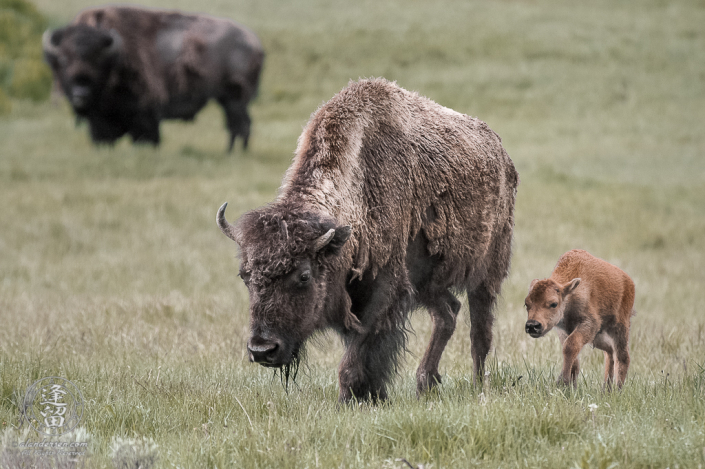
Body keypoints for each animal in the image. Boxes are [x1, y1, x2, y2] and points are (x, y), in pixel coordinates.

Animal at [43, 5, 264, 152]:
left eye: (98, 59)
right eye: (63, 59)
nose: (80, 93)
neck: (116, 56)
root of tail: (254, 42)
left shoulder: (145, 114)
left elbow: (146, 137)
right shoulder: (99, 123)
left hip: (235, 99)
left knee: (241, 125)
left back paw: (234, 153)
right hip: (227, 100)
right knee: (236, 125)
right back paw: (231, 152)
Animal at [217, 78, 520, 400]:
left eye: (304, 276)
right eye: (244, 276)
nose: (262, 349)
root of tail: (502, 156)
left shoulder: (385, 292)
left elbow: (356, 357)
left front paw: (353, 398)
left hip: (486, 273)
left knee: (479, 332)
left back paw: (477, 386)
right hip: (428, 283)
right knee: (448, 313)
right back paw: (425, 381)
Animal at [524, 249, 632, 388]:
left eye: (553, 304)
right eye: (526, 304)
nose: (532, 325)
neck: (569, 295)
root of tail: (629, 281)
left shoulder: (589, 324)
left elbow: (570, 346)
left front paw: (563, 382)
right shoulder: (564, 329)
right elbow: (573, 356)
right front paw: (570, 386)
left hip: (620, 327)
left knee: (623, 357)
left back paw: (617, 389)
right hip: (597, 337)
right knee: (609, 350)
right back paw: (606, 389)